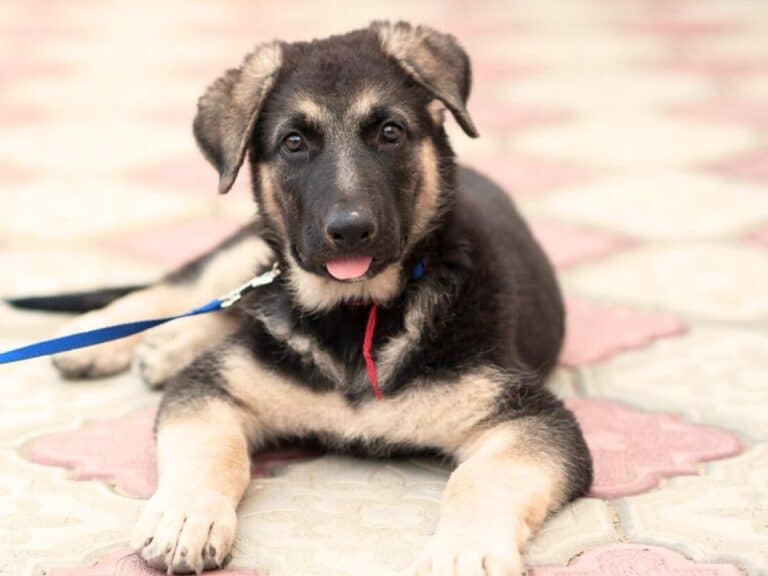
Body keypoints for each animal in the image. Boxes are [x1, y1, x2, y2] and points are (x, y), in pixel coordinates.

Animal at [48, 22, 592, 576]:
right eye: (294, 143)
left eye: (390, 132)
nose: (350, 230)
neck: (355, 313)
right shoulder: (211, 389)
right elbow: (211, 450)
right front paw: (186, 515)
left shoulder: (530, 418)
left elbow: (482, 480)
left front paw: (465, 551)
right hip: (250, 255)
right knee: (187, 286)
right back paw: (100, 339)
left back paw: (169, 346)